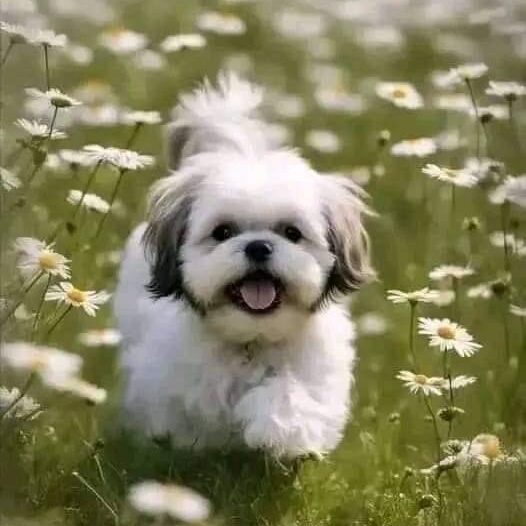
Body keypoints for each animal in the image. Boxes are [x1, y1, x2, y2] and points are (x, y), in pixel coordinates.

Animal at [114, 72, 376, 460]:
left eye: (291, 232)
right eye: (222, 232)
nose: (258, 246)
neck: (252, 338)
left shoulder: (316, 374)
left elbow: (289, 393)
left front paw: (279, 432)